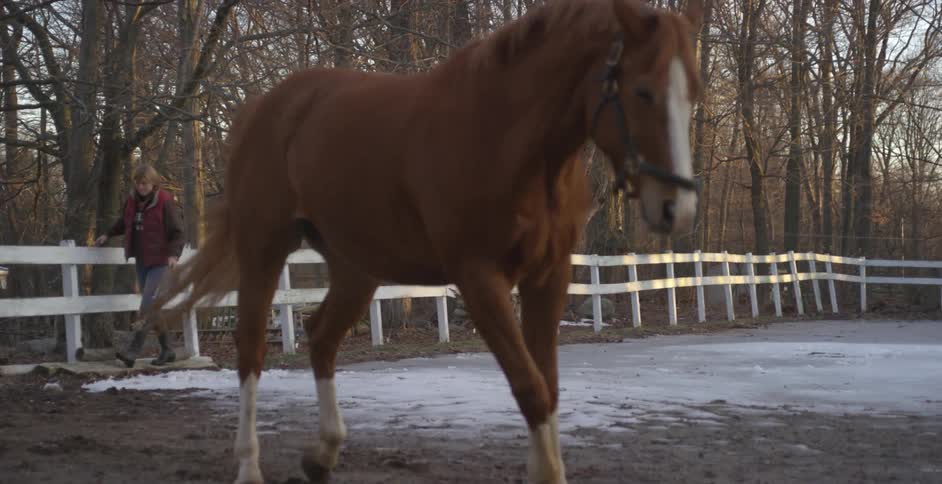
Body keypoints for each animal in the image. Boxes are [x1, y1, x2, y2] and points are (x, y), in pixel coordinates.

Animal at [148, 0, 703, 482]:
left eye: (692, 93)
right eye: (643, 91)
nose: (677, 207)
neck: (507, 139)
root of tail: (264, 108)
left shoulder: (550, 275)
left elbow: (547, 385)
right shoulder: (479, 279)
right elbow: (530, 387)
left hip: (357, 268)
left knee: (321, 336)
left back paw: (323, 455)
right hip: (264, 249)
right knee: (251, 350)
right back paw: (249, 465)